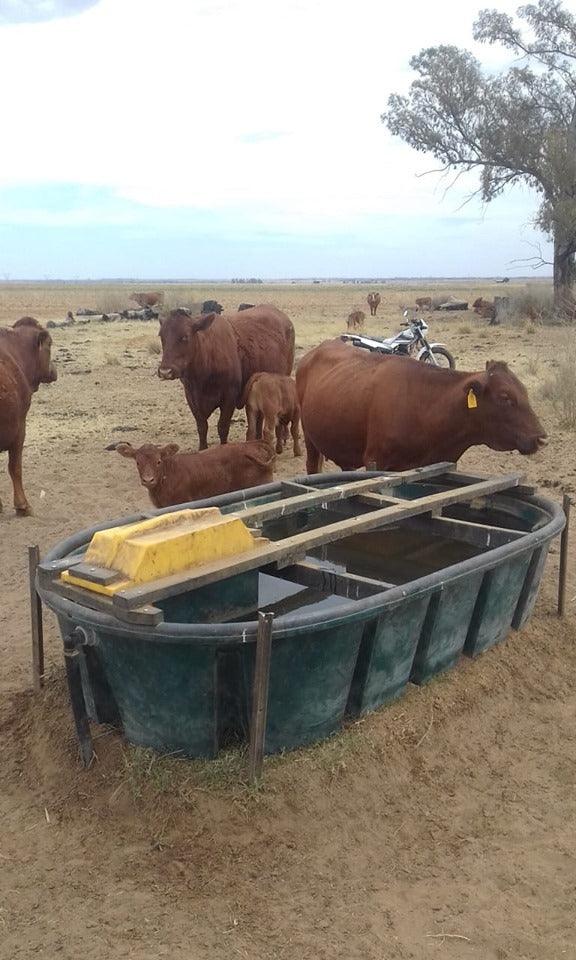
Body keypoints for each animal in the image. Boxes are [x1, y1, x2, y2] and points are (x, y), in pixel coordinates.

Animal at [156, 306, 294, 452]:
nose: (165, 371)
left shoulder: (229, 397)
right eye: (162, 336)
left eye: (185, 336)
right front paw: (202, 449)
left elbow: (222, 427)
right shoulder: (191, 397)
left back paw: (284, 436)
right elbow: (202, 427)